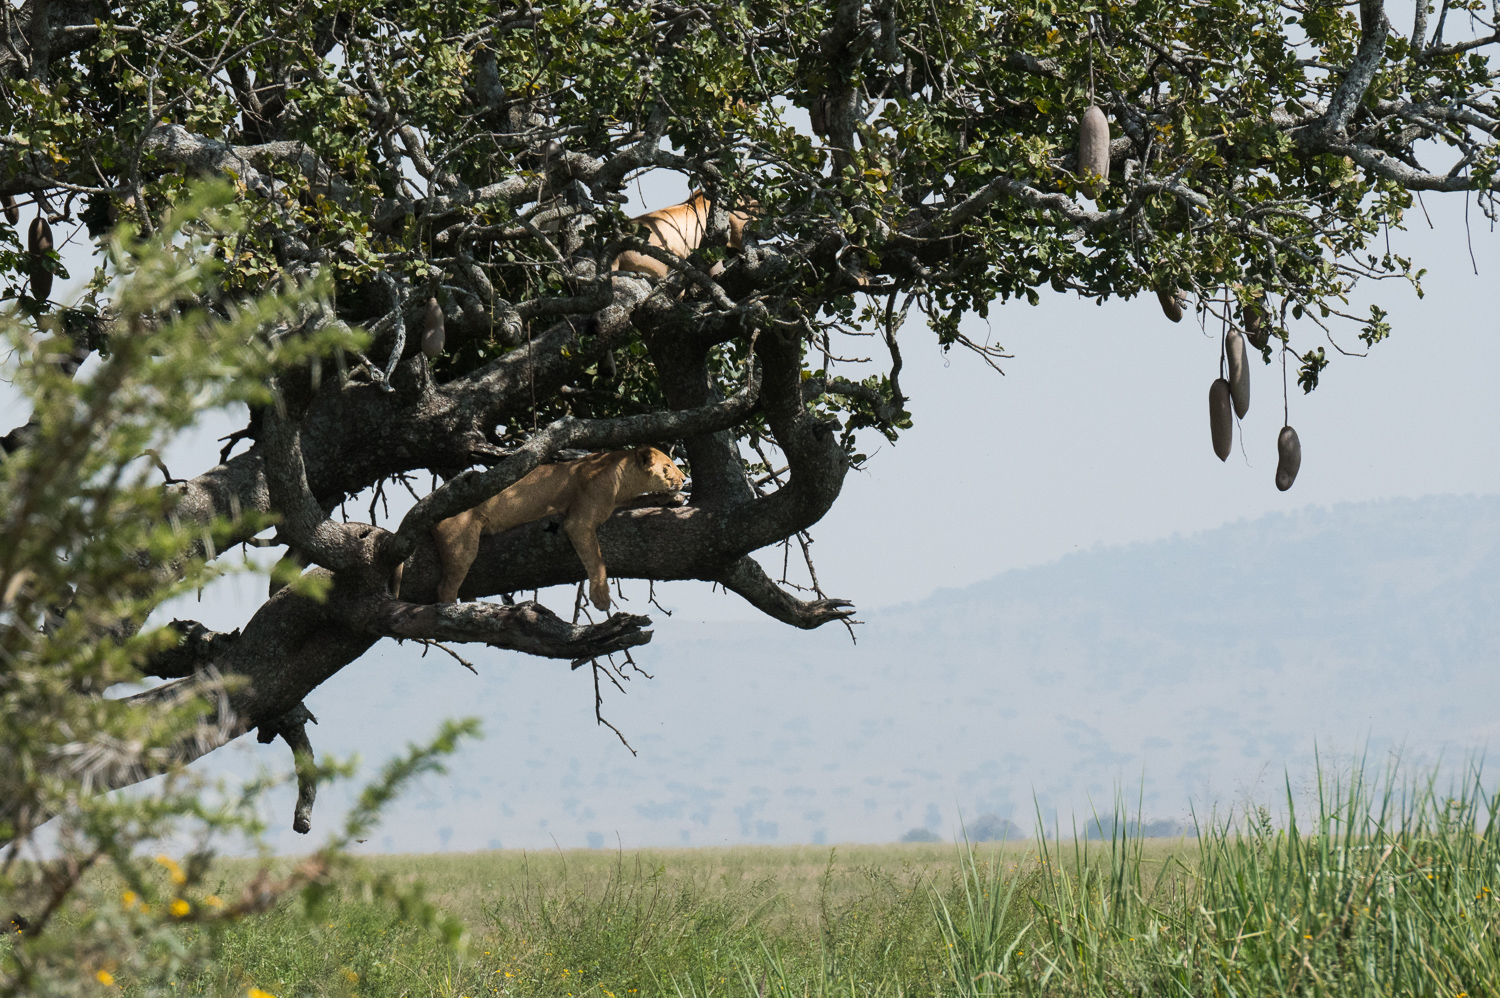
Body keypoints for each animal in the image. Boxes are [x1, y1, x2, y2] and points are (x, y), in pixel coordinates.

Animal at [435, 447, 687, 612]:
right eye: (668, 466)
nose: (685, 479)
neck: (622, 479)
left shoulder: (618, 502)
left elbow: (644, 498)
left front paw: (672, 498)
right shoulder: (579, 521)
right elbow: (596, 558)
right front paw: (601, 597)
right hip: (461, 545)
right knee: (445, 588)